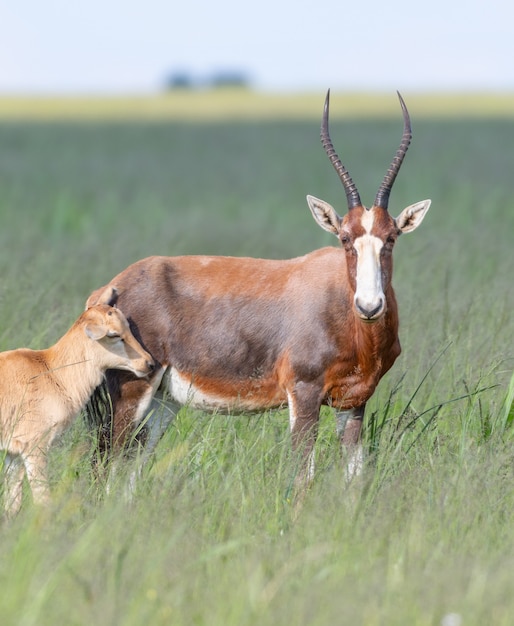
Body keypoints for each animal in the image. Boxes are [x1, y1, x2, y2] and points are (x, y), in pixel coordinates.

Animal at [0, 286, 152, 516]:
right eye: (114, 334)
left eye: (128, 326)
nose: (149, 363)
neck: (50, 371)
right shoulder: (35, 450)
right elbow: (43, 501)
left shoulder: (13, 454)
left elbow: (12, 506)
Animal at [86, 90, 430, 490]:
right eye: (345, 238)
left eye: (391, 237)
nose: (369, 306)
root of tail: (109, 291)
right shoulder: (304, 393)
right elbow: (303, 475)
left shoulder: (353, 402)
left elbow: (355, 477)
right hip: (131, 396)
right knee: (107, 466)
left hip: (163, 400)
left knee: (131, 466)